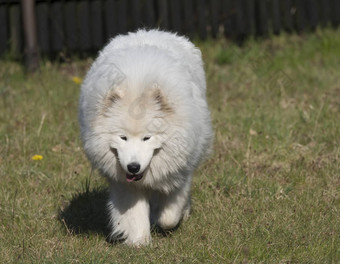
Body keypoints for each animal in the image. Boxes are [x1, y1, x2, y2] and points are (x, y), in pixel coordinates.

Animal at [79, 29, 212, 246]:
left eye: (147, 138)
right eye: (122, 137)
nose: (133, 167)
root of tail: (151, 31)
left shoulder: (179, 173)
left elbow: (169, 215)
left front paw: (163, 219)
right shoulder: (125, 183)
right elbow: (134, 213)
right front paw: (139, 242)